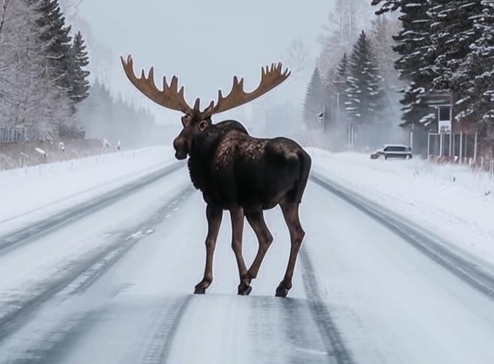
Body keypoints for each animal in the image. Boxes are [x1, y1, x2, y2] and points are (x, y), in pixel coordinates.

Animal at [121, 55, 310, 298]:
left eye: (202, 124)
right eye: (185, 121)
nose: (177, 145)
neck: (204, 160)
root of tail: (302, 156)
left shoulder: (233, 202)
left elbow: (235, 242)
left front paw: (242, 283)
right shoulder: (215, 203)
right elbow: (210, 240)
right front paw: (204, 282)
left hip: (279, 201)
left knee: (283, 235)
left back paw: (268, 281)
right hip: (278, 203)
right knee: (280, 235)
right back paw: (277, 283)